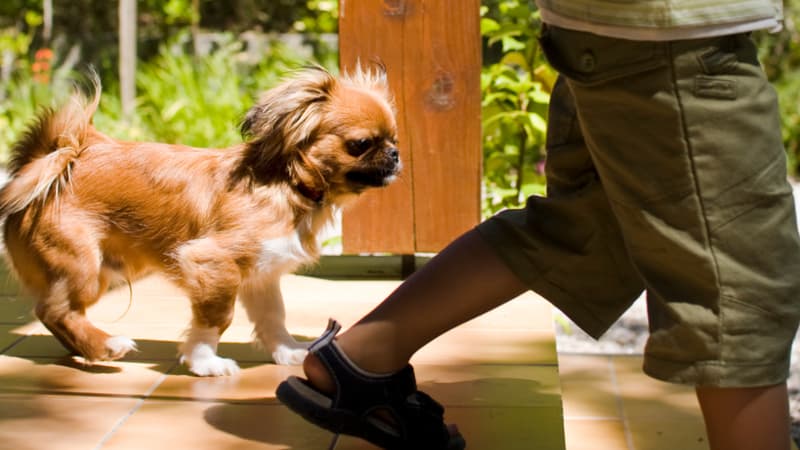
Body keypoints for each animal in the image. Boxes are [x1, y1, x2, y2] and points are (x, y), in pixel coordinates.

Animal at [0, 65, 400, 376]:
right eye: (361, 144)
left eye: (394, 138)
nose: (396, 154)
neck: (289, 185)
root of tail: (57, 158)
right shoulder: (212, 263)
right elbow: (217, 318)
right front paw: (204, 361)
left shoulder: (262, 276)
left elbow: (273, 318)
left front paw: (289, 353)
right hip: (84, 265)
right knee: (55, 309)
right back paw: (105, 346)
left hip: (101, 271)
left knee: (57, 312)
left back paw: (87, 349)